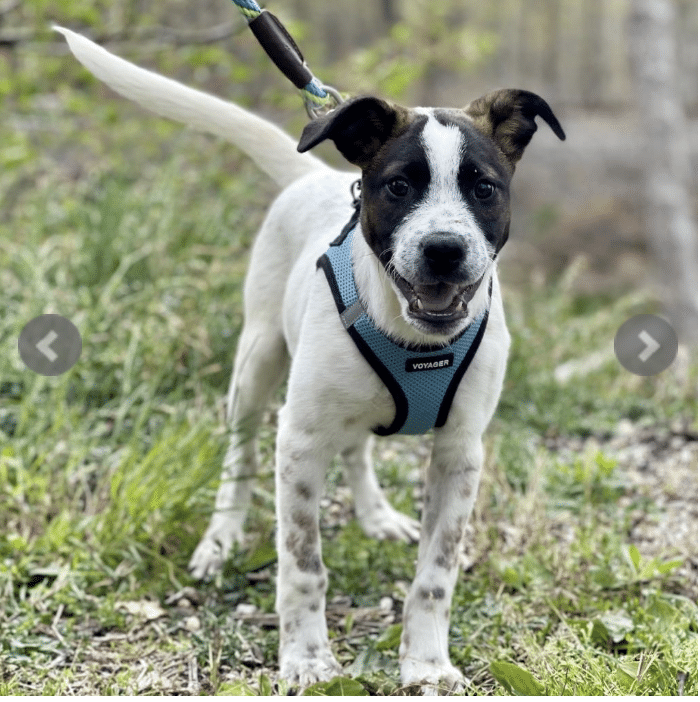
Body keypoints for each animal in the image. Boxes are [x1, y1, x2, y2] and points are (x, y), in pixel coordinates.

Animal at [57, 26, 568, 692]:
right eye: (398, 186)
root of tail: (315, 174)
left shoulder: (461, 453)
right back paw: (220, 538)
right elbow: (302, 566)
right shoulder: (298, 442)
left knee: (356, 447)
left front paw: (427, 664)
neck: (413, 340)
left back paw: (376, 515)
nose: (444, 250)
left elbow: (435, 575)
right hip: (256, 364)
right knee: (241, 456)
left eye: (484, 187)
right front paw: (306, 659)